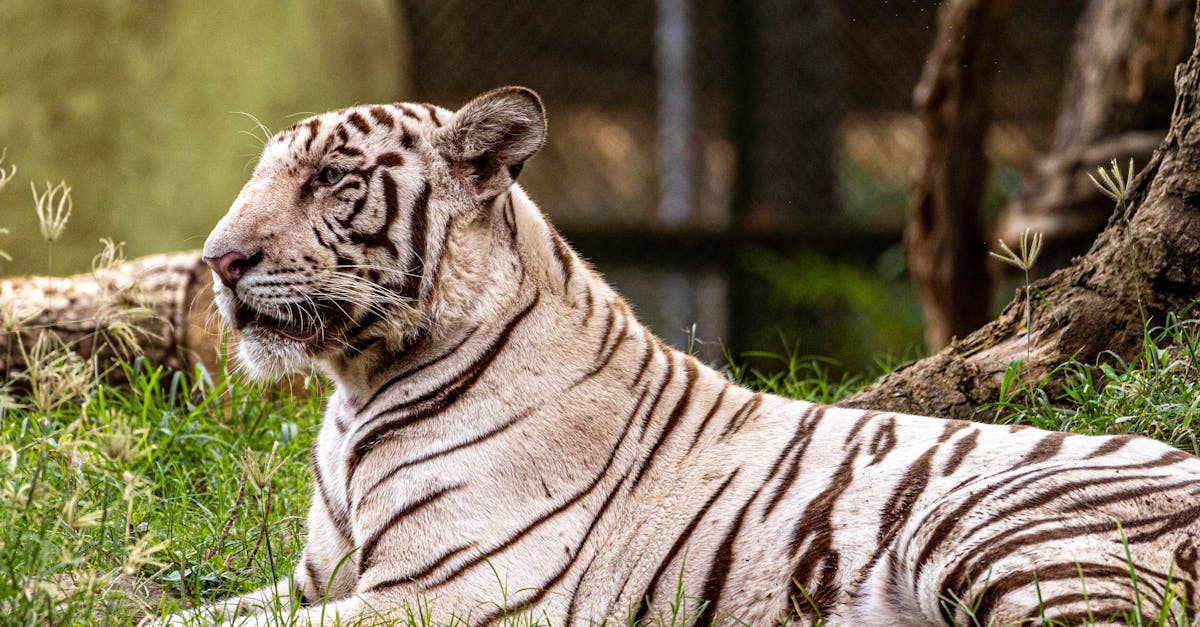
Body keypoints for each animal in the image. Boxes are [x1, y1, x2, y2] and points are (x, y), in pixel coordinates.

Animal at [164, 85, 1200, 619]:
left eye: (332, 180)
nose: (217, 259)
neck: (358, 387)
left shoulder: (445, 587)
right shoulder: (316, 576)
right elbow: (187, 610)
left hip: (990, 528)